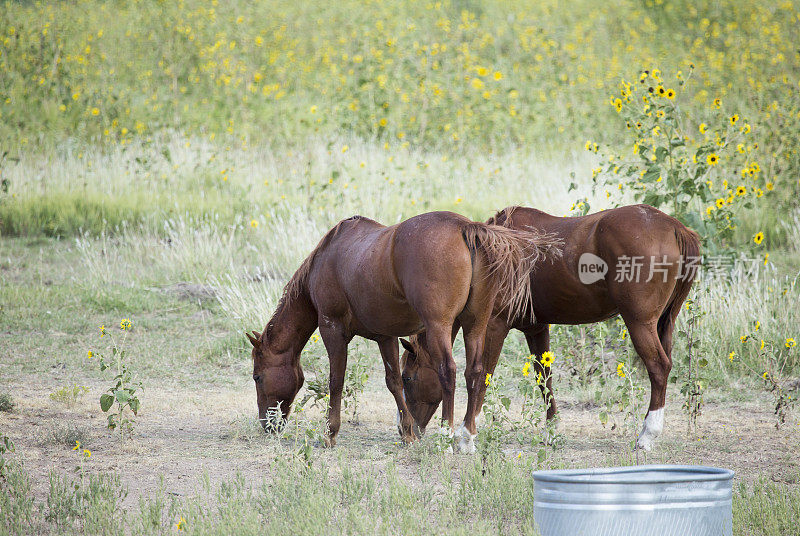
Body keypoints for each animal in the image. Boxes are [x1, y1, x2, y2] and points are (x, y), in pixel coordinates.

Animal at [247, 209, 560, 448]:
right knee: (475, 372)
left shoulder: (332, 330)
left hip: (439, 327)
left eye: (257, 377)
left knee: (449, 371)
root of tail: (466, 228)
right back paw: (466, 437)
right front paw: (408, 433)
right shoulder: (385, 336)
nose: (267, 425)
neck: (328, 257)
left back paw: (446, 435)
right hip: (475, 325)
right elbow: (394, 382)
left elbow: (336, 382)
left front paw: (330, 433)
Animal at [400, 205, 700, 452]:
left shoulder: (494, 326)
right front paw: (552, 430)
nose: (409, 431)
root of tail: (675, 227)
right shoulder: (536, 328)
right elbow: (544, 378)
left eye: (408, 378)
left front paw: (466, 435)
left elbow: (483, 375)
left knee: (659, 367)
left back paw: (648, 434)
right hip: (663, 323)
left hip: (640, 323)